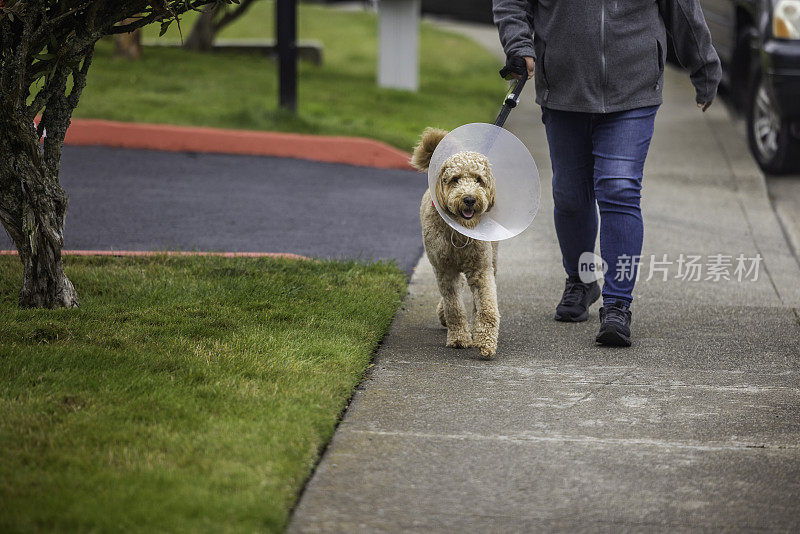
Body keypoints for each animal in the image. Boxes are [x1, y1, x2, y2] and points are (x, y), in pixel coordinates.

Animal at [412, 127, 500, 360]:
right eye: (455, 179)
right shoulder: (445, 270)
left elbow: (487, 307)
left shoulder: (481, 268)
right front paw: (459, 338)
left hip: (493, 258)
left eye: (479, 180)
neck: (459, 232)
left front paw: (486, 341)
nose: (469, 199)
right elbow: (454, 306)